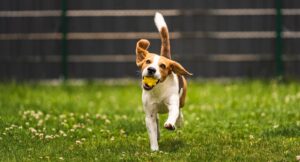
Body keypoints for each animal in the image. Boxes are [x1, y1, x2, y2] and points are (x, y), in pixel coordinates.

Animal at [135, 12, 192, 151]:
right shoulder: (149, 114)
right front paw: (155, 149)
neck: (158, 90)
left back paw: (178, 121)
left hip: (182, 99)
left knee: (179, 111)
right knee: (157, 120)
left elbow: (173, 113)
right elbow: (152, 131)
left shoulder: (172, 104)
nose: (151, 69)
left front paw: (170, 124)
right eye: (147, 61)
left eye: (162, 66)